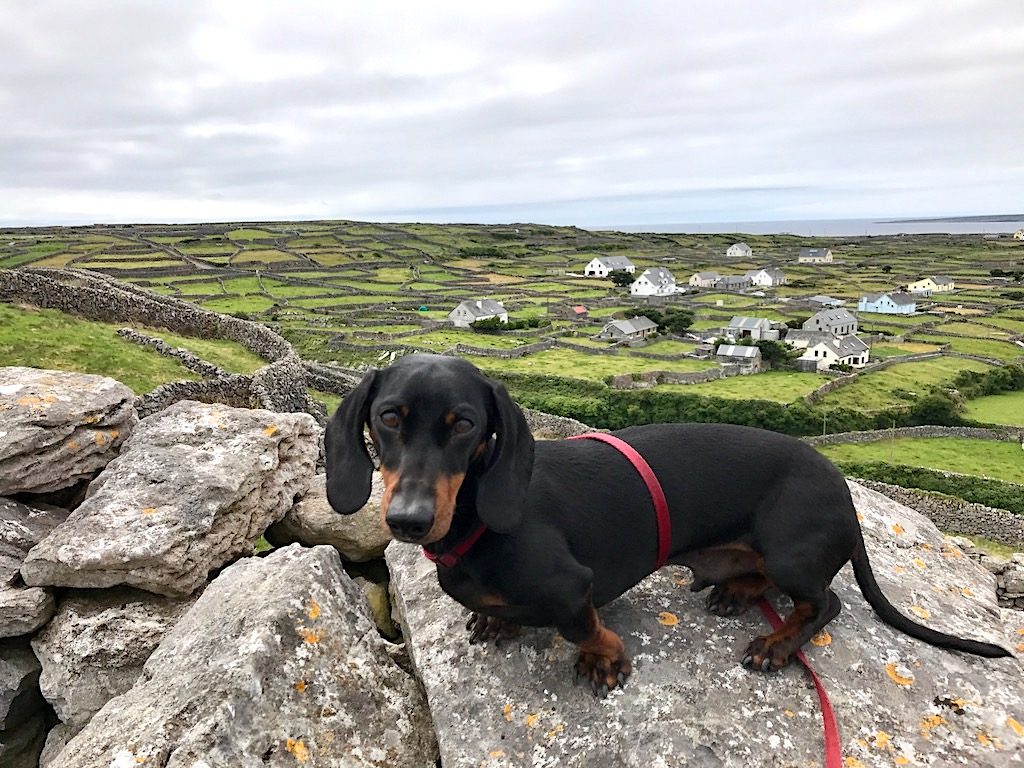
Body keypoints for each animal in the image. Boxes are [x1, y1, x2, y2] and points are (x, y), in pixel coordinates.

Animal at [325, 354, 1007, 696]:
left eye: (465, 424)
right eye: (388, 417)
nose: (407, 521)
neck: (476, 528)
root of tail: (844, 490)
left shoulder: (571, 588)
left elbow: (584, 628)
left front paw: (604, 661)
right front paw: (494, 619)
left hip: (792, 547)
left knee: (825, 603)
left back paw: (777, 643)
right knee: (769, 580)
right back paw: (737, 590)